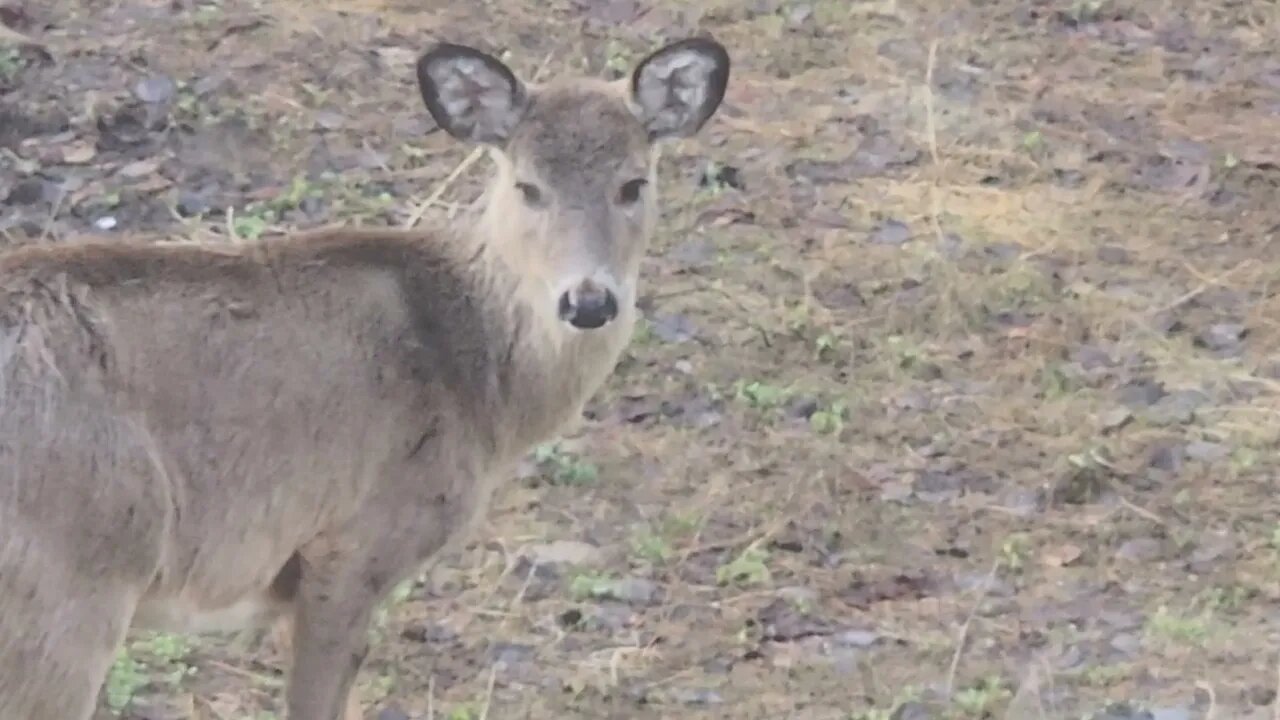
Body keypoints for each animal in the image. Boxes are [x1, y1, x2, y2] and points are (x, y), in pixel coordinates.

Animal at [0, 35, 732, 717]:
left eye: (633, 184)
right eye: (527, 186)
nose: (588, 302)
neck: (473, 374)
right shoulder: (351, 543)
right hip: (74, 581)